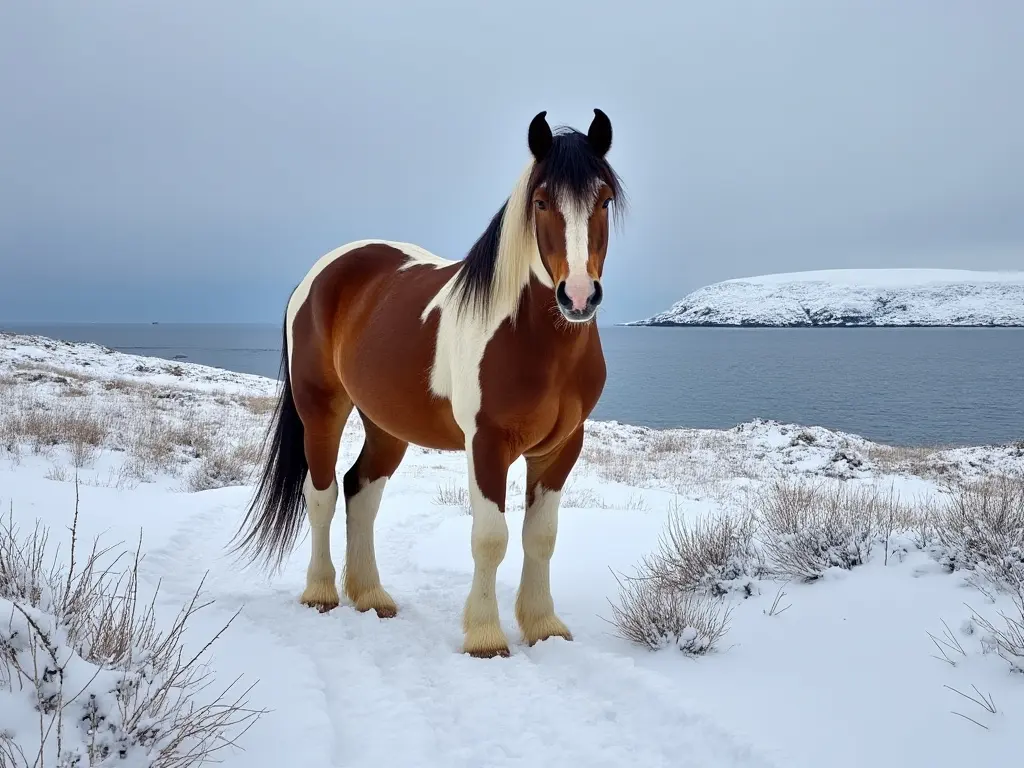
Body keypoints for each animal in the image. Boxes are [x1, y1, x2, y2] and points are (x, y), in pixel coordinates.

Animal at [234, 109, 622, 663]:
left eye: (604, 199)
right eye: (542, 201)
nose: (579, 296)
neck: (531, 336)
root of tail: (320, 273)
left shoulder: (562, 447)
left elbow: (541, 537)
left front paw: (545, 627)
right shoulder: (486, 444)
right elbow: (491, 537)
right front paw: (485, 636)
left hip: (385, 425)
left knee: (360, 491)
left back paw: (371, 595)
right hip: (321, 410)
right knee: (322, 493)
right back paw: (321, 592)